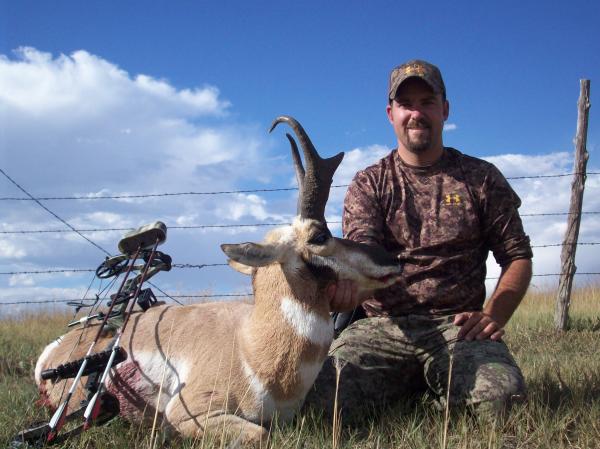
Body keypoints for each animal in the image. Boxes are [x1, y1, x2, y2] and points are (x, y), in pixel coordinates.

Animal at [36, 116, 404, 444]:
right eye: (320, 235)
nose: (393, 258)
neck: (249, 345)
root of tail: (56, 351)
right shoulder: (191, 413)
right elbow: (262, 435)